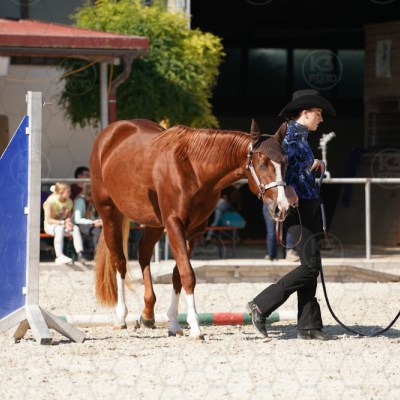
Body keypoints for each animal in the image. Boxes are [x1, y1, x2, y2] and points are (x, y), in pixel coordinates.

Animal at [90, 118, 290, 339]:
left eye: (286, 163)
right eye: (262, 164)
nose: (282, 207)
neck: (194, 170)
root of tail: (112, 131)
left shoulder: (194, 231)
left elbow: (178, 275)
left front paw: (174, 323)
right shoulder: (174, 224)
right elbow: (188, 274)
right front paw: (195, 327)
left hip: (154, 223)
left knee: (143, 254)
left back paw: (148, 314)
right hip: (110, 213)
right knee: (120, 261)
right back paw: (120, 317)